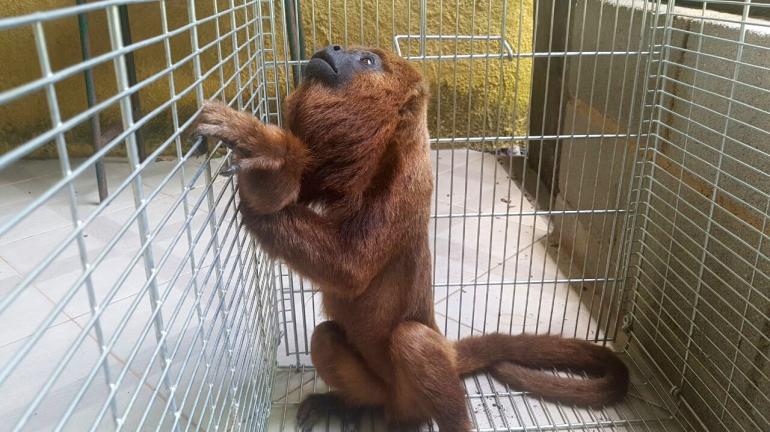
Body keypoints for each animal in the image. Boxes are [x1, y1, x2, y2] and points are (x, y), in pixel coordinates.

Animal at [195, 45, 628, 430]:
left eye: (367, 60)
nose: (333, 47)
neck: (378, 149)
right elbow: (295, 192)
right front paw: (272, 164)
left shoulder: (408, 180)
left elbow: (349, 268)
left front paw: (264, 152)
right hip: (379, 389)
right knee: (325, 338)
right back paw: (346, 404)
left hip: (414, 394)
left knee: (413, 340)